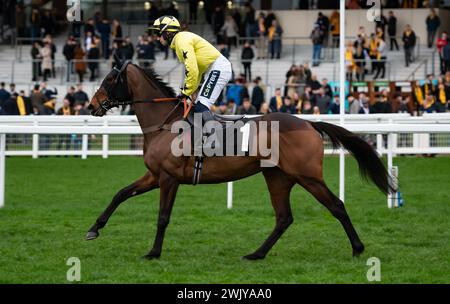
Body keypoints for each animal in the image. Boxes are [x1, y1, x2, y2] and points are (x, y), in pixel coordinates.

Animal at [85, 56, 394, 258]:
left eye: (110, 79)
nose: (91, 106)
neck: (166, 123)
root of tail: (308, 123)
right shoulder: (154, 175)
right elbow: (121, 193)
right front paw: (94, 229)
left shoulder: (169, 178)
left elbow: (162, 217)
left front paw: (153, 252)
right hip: (278, 177)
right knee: (284, 218)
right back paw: (256, 254)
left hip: (307, 176)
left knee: (336, 206)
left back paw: (357, 248)